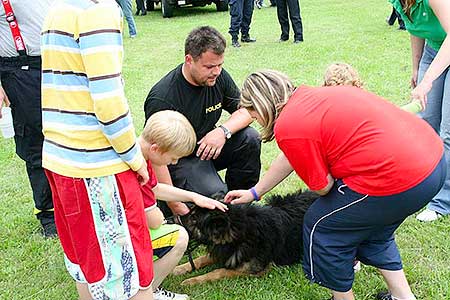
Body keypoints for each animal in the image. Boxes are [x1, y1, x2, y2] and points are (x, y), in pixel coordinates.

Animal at [171, 191, 316, 284]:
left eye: (194, 217)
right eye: (192, 211)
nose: (173, 218)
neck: (239, 232)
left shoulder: (255, 270)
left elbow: (219, 271)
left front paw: (193, 280)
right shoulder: (225, 251)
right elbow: (200, 259)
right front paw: (179, 269)